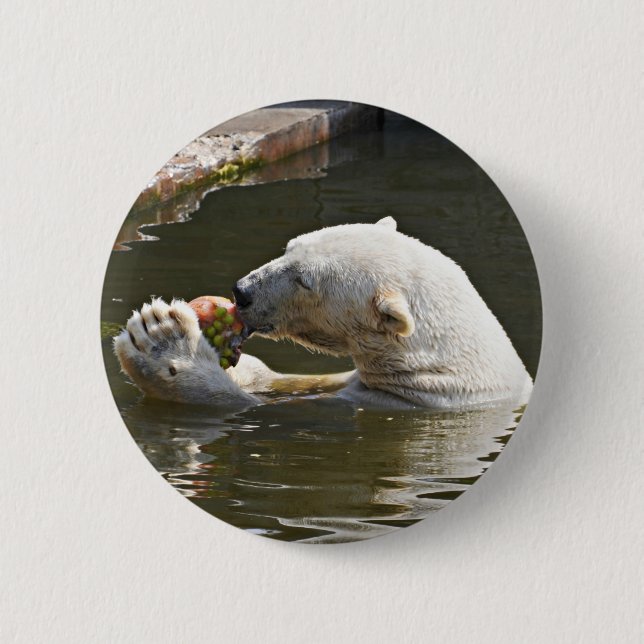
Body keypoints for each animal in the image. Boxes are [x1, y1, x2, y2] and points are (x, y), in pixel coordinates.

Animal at [114, 217, 532, 409]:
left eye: (304, 280)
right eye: (290, 246)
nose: (242, 291)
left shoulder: (389, 403)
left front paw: (160, 340)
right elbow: (285, 381)